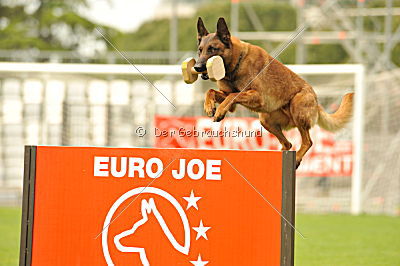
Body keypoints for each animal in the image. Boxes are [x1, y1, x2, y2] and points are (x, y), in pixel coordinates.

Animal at [197, 17, 354, 168]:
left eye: (212, 49)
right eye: (200, 50)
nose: (197, 67)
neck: (236, 65)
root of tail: (316, 101)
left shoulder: (257, 96)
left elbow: (232, 95)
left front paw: (219, 111)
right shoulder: (229, 98)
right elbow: (211, 92)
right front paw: (209, 106)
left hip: (296, 107)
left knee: (307, 142)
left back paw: (297, 157)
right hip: (265, 120)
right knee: (288, 144)